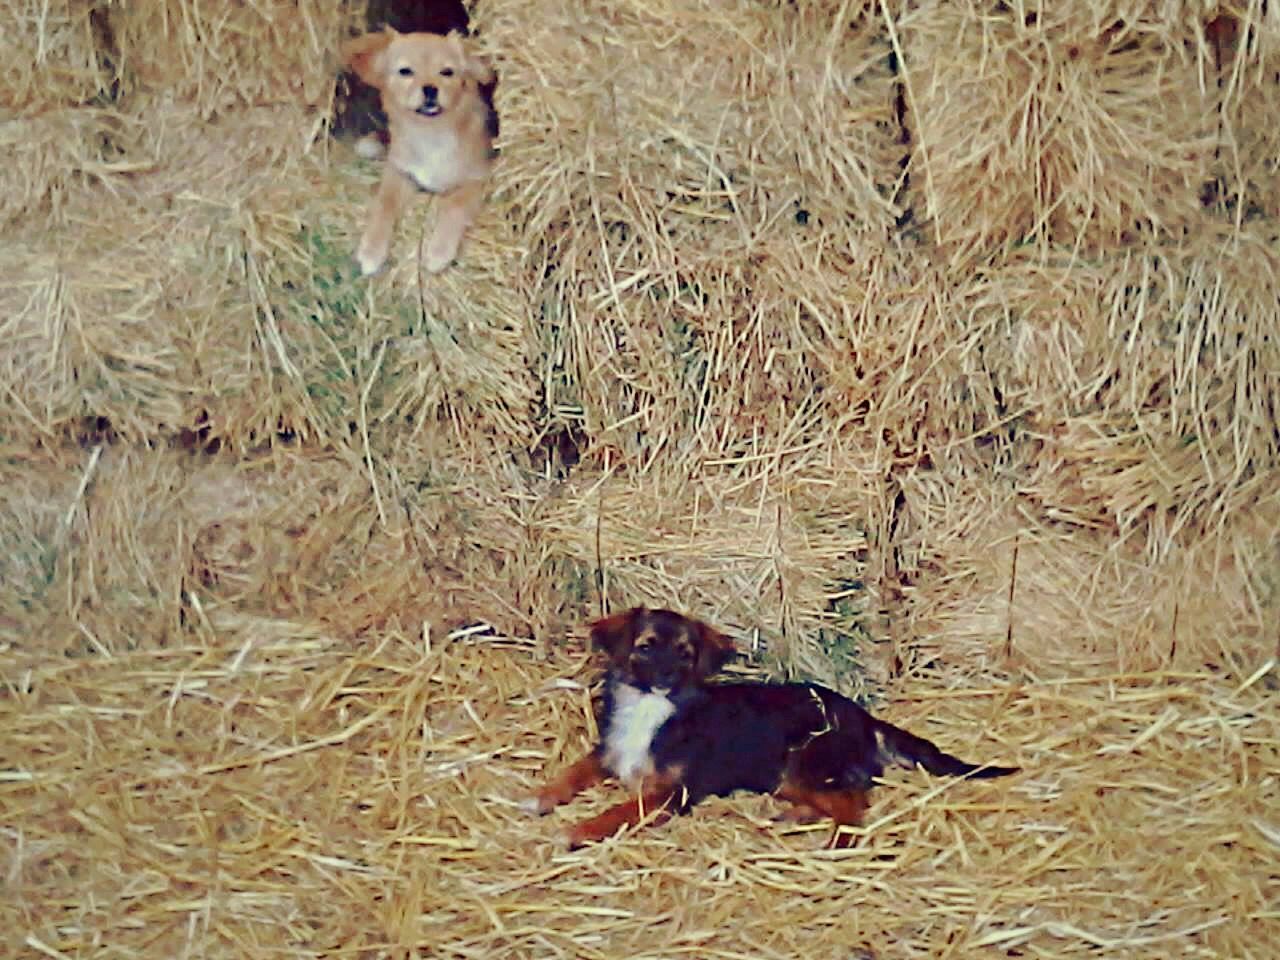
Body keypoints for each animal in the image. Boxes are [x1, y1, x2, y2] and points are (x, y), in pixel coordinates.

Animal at [343, 30, 496, 276]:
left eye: (447, 72)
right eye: (405, 71)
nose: (430, 88)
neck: (430, 133)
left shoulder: (478, 179)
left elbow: (454, 206)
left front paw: (439, 251)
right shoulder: (399, 174)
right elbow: (384, 204)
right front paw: (371, 249)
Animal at [524, 609, 1013, 849]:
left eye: (685, 653)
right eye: (646, 647)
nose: (665, 678)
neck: (651, 709)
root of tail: (863, 717)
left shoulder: (671, 794)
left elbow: (619, 811)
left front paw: (578, 831)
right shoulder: (610, 751)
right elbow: (574, 771)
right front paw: (541, 796)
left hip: (802, 762)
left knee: (855, 802)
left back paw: (837, 841)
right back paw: (791, 815)